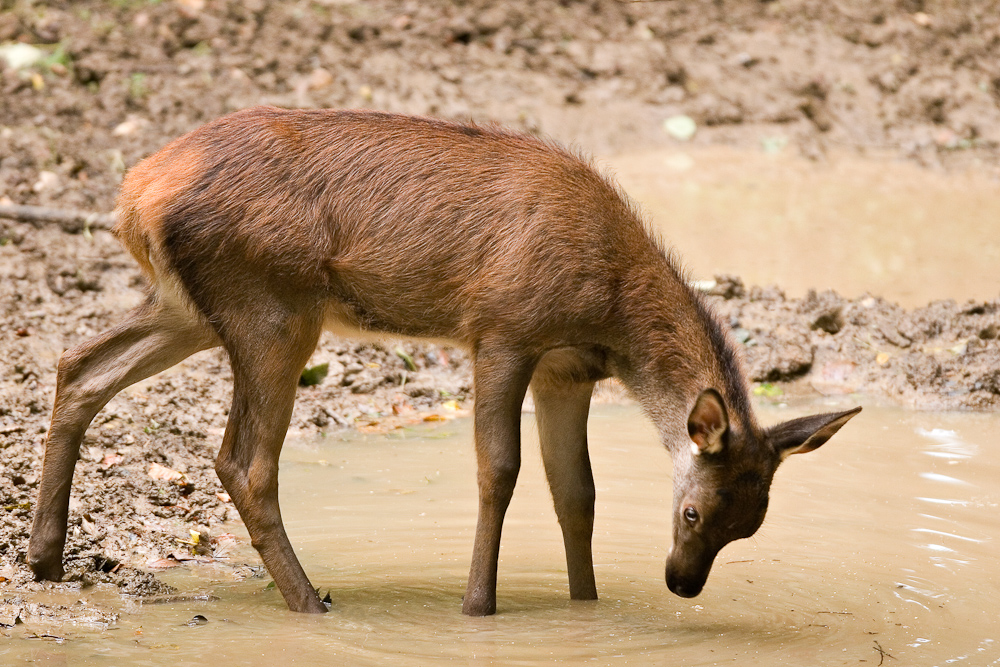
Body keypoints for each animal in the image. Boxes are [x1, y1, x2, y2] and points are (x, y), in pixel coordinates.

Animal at [27, 108, 864, 616]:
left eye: (750, 523)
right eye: (692, 510)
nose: (683, 583)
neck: (611, 313)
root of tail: (135, 191)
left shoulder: (566, 368)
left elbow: (577, 493)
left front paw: (585, 604)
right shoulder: (503, 328)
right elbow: (501, 470)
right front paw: (477, 606)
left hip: (193, 305)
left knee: (78, 364)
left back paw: (44, 558)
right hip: (271, 306)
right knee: (243, 459)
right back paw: (310, 602)